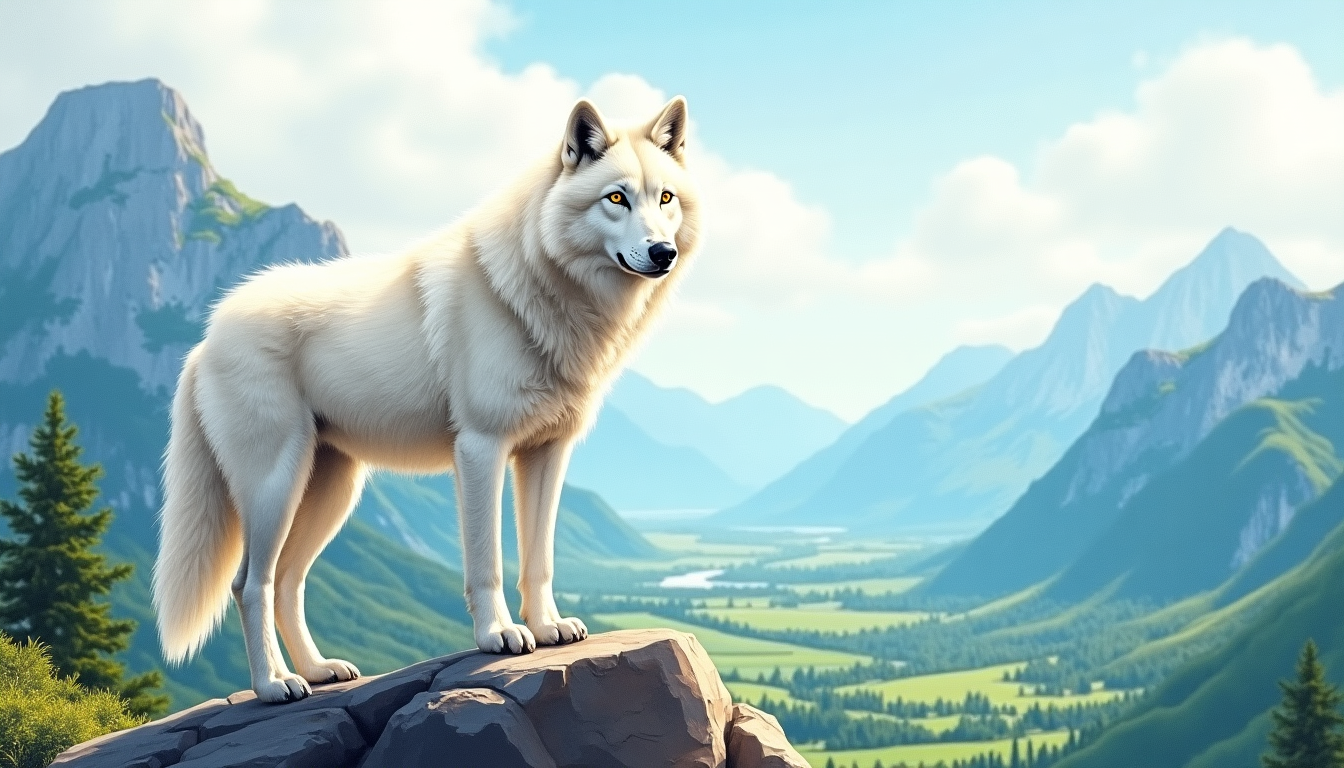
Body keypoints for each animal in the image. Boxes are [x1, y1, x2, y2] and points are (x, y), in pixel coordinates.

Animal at [153, 97, 698, 703]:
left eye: (665, 198)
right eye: (616, 198)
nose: (663, 252)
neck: (544, 293)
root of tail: (205, 338)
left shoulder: (547, 454)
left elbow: (540, 560)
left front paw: (549, 628)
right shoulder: (481, 449)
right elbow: (487, 561)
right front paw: (499, 636)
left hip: (331, 491)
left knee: (289, 582)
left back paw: (318, 671)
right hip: (275, 486)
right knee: (250, 583)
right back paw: (275, 684)